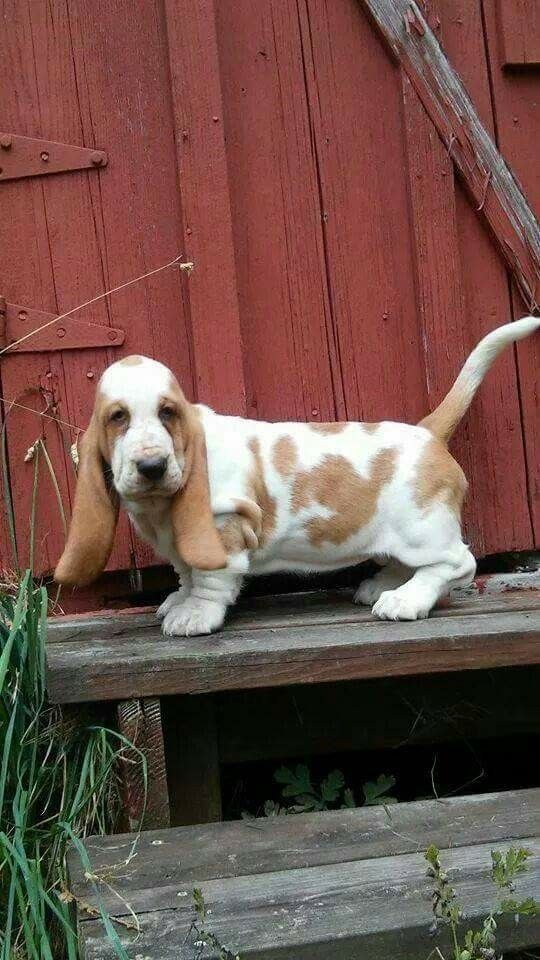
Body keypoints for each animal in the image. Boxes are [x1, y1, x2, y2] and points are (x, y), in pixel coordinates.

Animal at [57, 316, 536, 636]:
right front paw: (179, 597)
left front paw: (194, 615)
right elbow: (187, 571)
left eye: (167, 413)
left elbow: (210, 580)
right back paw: (384, 585)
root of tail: (428, 431)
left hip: (423, 527)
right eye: (117, 417)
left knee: (456, 564)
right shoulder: (182, 544)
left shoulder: (222, 529)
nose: (151, 466)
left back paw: (404, 599)